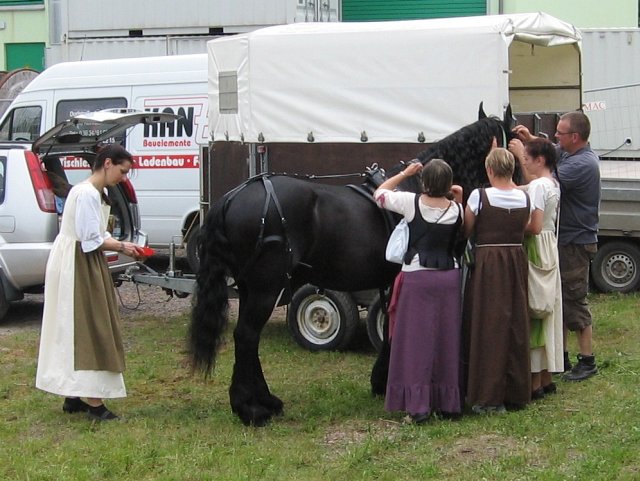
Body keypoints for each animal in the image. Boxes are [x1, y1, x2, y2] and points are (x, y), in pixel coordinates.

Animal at [189, 104, 516, 424]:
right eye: (514, 139)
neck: (416, 188)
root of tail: (232, 197)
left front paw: (381, 380)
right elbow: (393, 328)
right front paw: (386, 381)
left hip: (250, 287)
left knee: (246, 337)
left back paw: (261, 401)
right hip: (265, 287)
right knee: (246, 335)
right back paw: (252, 409)